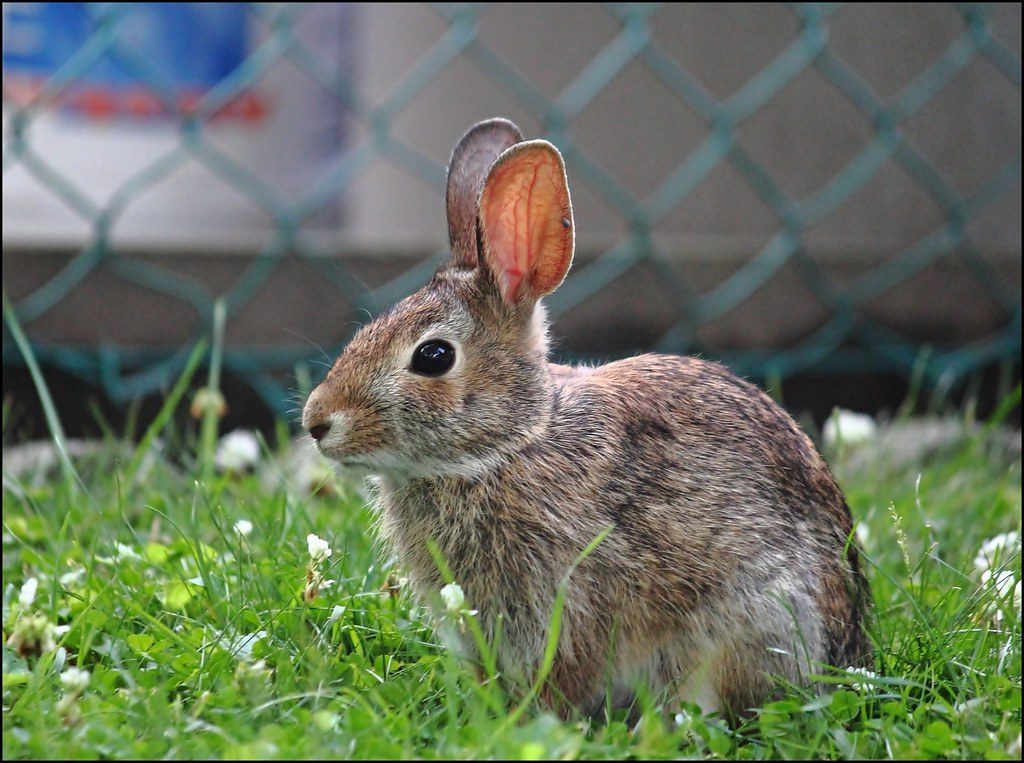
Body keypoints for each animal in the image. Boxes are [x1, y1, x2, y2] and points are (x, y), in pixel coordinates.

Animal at [302, 117, 872, 720]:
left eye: (433, 357)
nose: (317, 422)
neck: (514, 441)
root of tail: (847, 644)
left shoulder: (568, 597)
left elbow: (564, 670)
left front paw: (531, 718)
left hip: (753, 617)